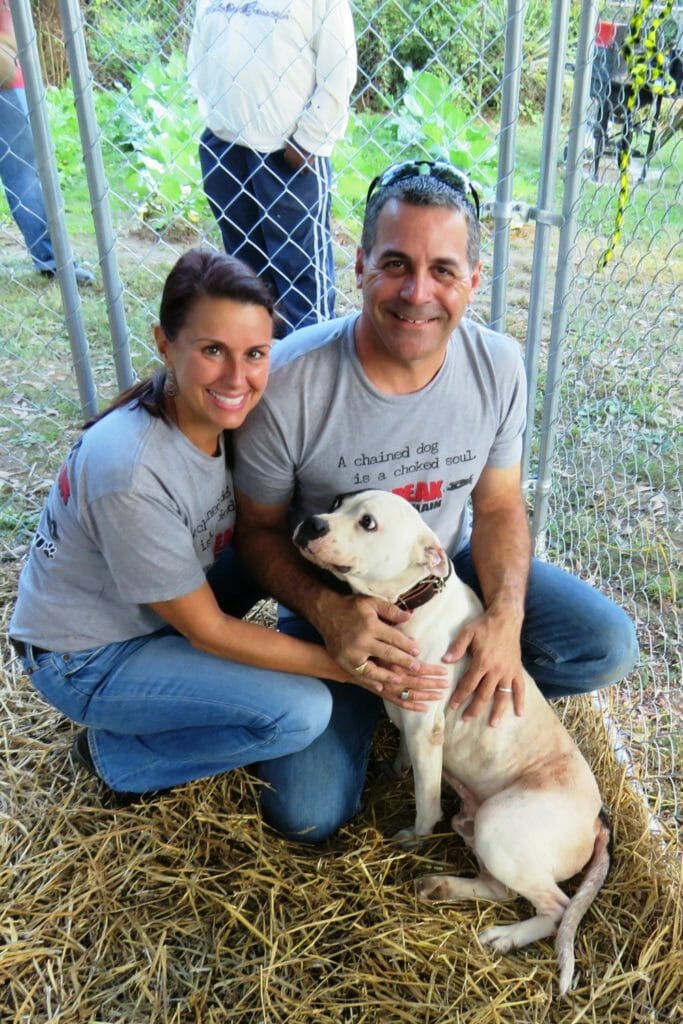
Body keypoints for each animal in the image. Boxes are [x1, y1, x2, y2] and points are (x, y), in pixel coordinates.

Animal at [292, 491, 610, 995]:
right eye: (337, 502)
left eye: (368, 523)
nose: (311, 523)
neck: (408, 600)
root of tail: (597, 823)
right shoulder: (405, 713)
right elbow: (405, 758)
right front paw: (393, 771)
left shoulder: (426, 728)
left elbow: (426, 801)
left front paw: (412, 837)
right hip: (484, 835)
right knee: (501, 887)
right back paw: (441, 886)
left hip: (501, 826)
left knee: (557, 909)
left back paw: (506, 935)